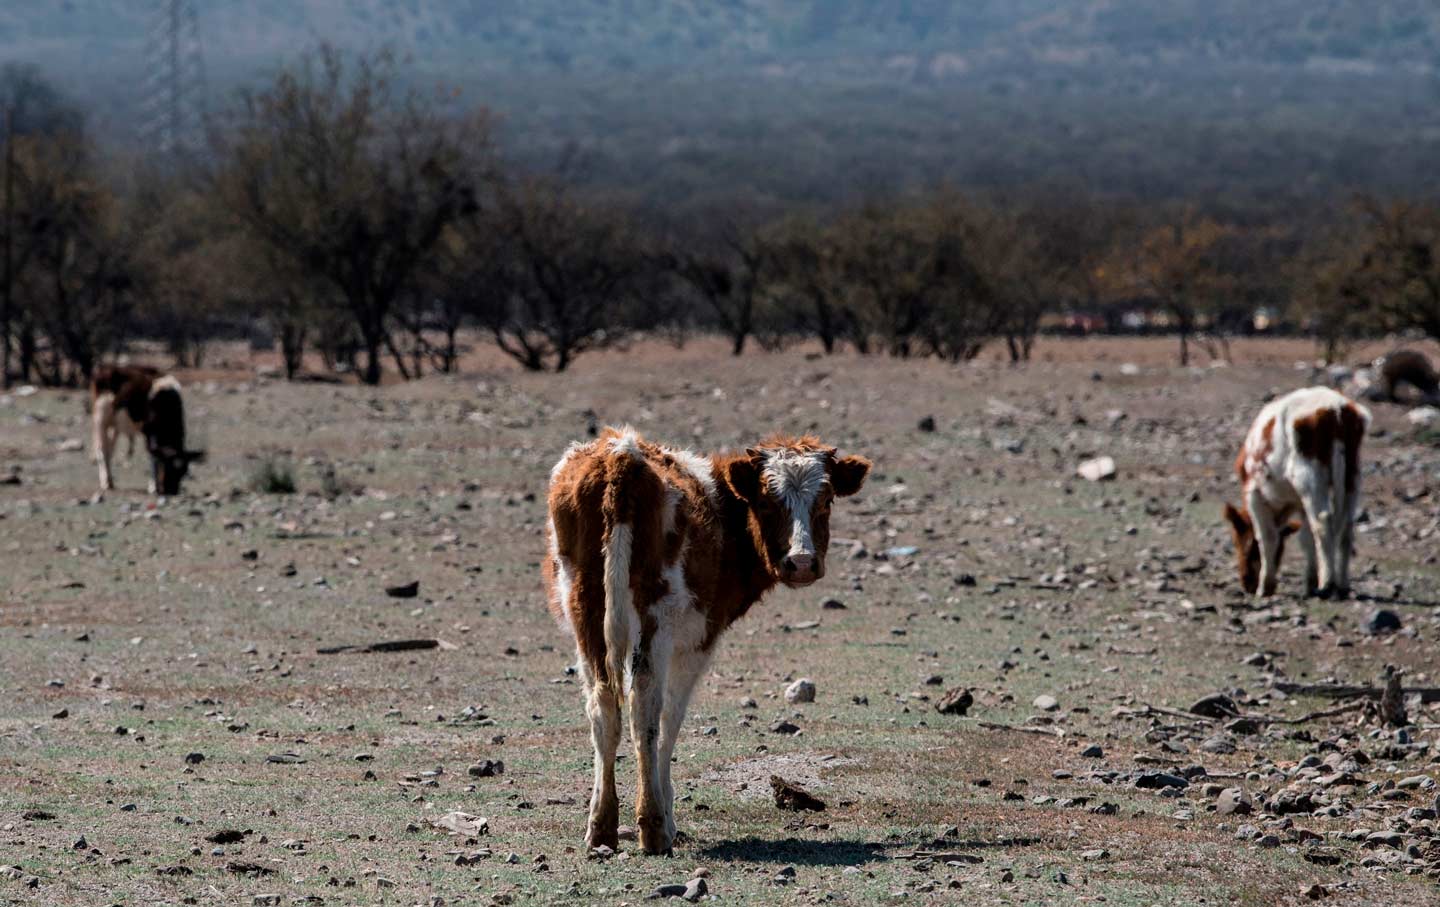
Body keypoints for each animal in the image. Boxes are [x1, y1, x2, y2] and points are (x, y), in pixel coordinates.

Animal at [91, 364, 204, 498]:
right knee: (101, 449)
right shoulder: (148, 431)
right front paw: (153, 487)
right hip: (100, 419)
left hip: (115, 425)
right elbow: (153, 457)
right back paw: (105, 483)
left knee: (109, 450)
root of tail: (105, 367)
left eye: (183, 471)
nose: (172, 491)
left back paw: (110, 481)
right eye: (168, 467)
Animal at [544, 429, 869, 858]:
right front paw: (668, 816)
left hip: (585, 611)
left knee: (602, 707)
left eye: (826, 499)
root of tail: (622, 455)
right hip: (655, 618)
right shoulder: (697, 642)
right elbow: (670, 722)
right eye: (766, 500)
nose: (801, 562)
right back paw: (654, 828)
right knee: (644, 708)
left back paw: (601, 827)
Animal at [1226, 388, 1370, 601]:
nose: (1247, 584)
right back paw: (1342, 585)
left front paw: (1265, 586)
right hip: (1352, 475)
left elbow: (1266, 537)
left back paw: (1327, 583)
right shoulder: (1300, 503)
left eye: (1237, 541)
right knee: (1346, 526)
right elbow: (1305, 538)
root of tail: (1335, 407)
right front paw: (1309, 582)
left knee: (1322, 522)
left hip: (1308, 476)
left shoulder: (1254, 494)